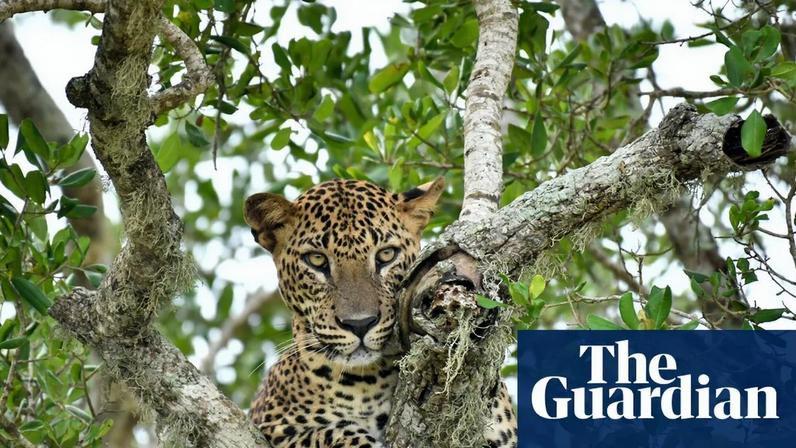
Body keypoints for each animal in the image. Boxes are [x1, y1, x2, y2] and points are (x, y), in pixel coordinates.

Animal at [244, 178, 517, 448]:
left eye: (386, 255)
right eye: (316, 260)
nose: (360, 324)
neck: (369, 380)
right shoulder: (277, 426)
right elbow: (332, 433)